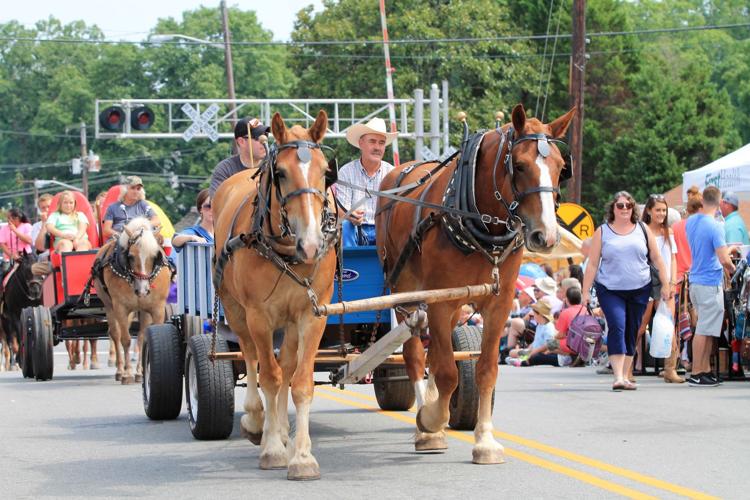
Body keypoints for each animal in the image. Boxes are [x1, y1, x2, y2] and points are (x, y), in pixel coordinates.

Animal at [214, 110, 338, 480]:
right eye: (280, 173)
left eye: (326, 172)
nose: (311, 243)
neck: (286, 251)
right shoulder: (259, 316)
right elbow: (268, 376)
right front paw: (271, 448)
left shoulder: (312, 314)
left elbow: (300, 382)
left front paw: (302, 456)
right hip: (235, 310)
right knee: (252, 357)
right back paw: (258, 422)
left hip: (291, 322)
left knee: (286, 365)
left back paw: (282, 430)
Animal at [376, 104, 576, 464]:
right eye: (520, 165)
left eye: (559, 167)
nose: (546, 236)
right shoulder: (440, 300)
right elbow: (446, 371)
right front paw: (431, 420)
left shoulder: (498, 302)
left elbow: (485, 369)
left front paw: (484, 440)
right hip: (405, 293)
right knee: (416, 355)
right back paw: (426, 427)